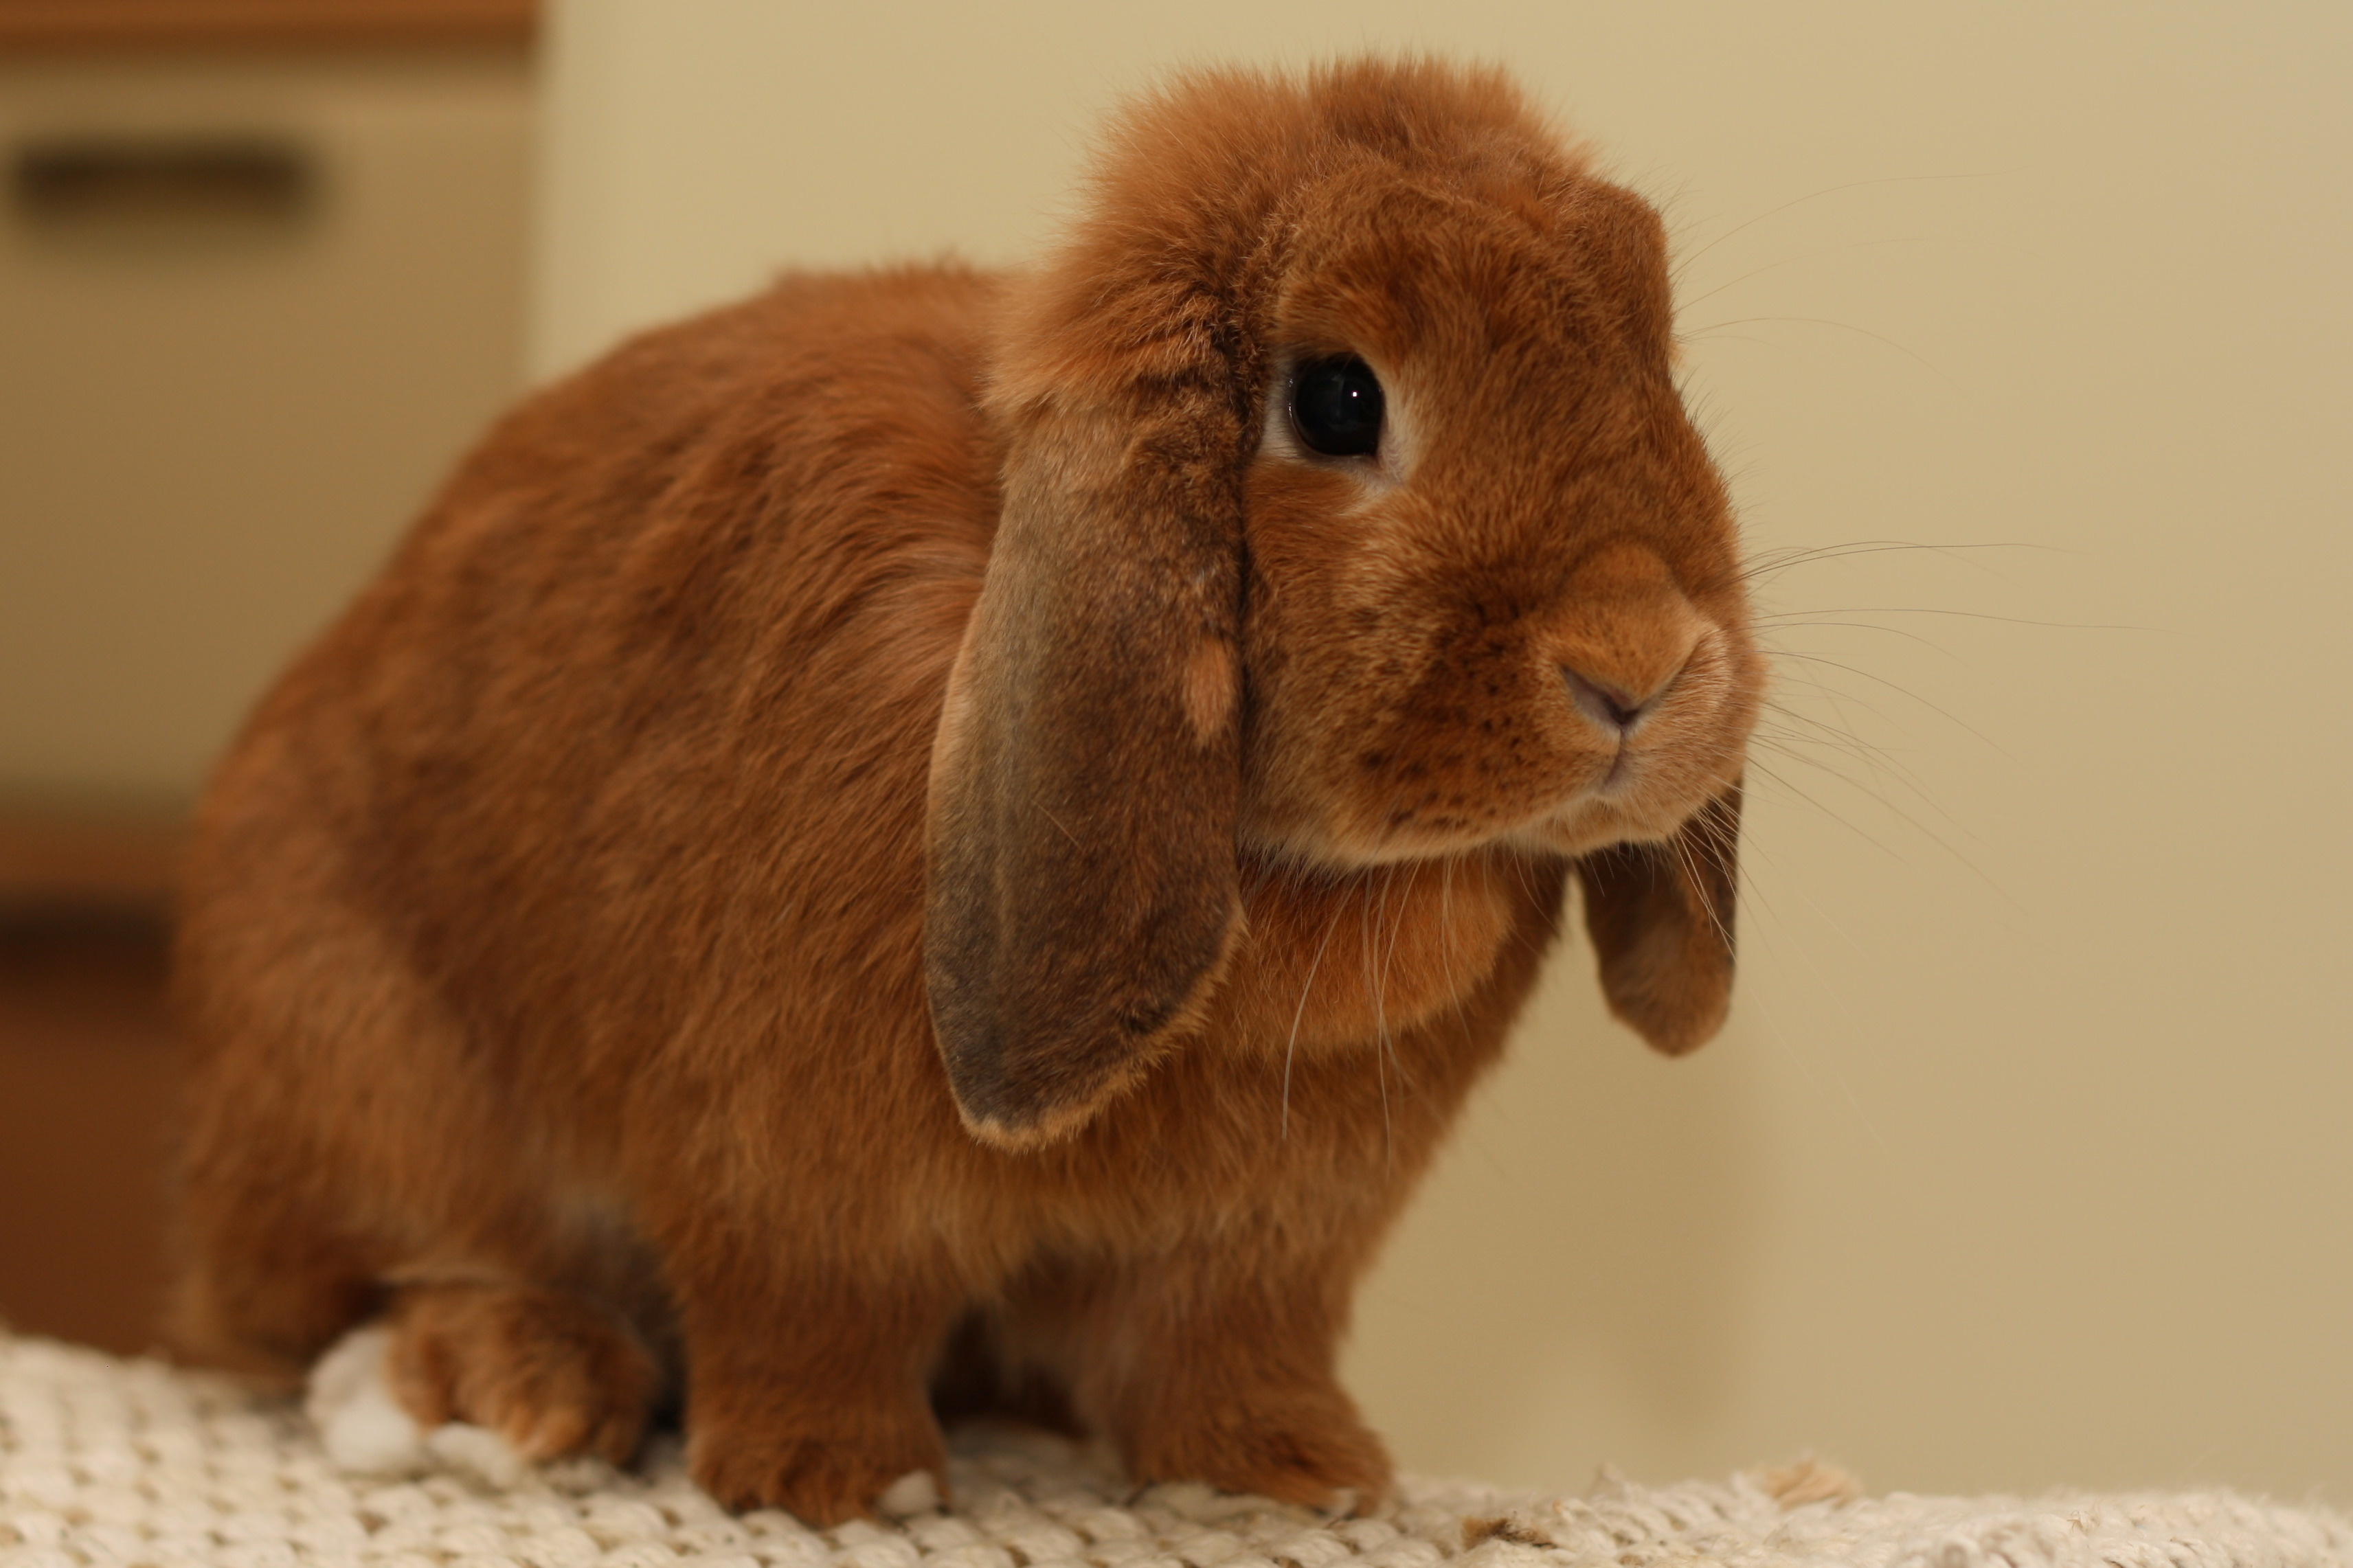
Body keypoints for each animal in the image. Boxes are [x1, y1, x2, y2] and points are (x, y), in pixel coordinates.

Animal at [170, 58, 1769, 1523]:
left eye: (1658, 357)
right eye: (1334, 399)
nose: (1639, 661)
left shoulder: (1267, 1243)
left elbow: (1220, 1346)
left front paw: (1290, 1475)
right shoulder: (783, 1182)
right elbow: (810, 1314)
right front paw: (835, 1481)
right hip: (358, 1054)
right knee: (353, 1290)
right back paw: (514, 1387)